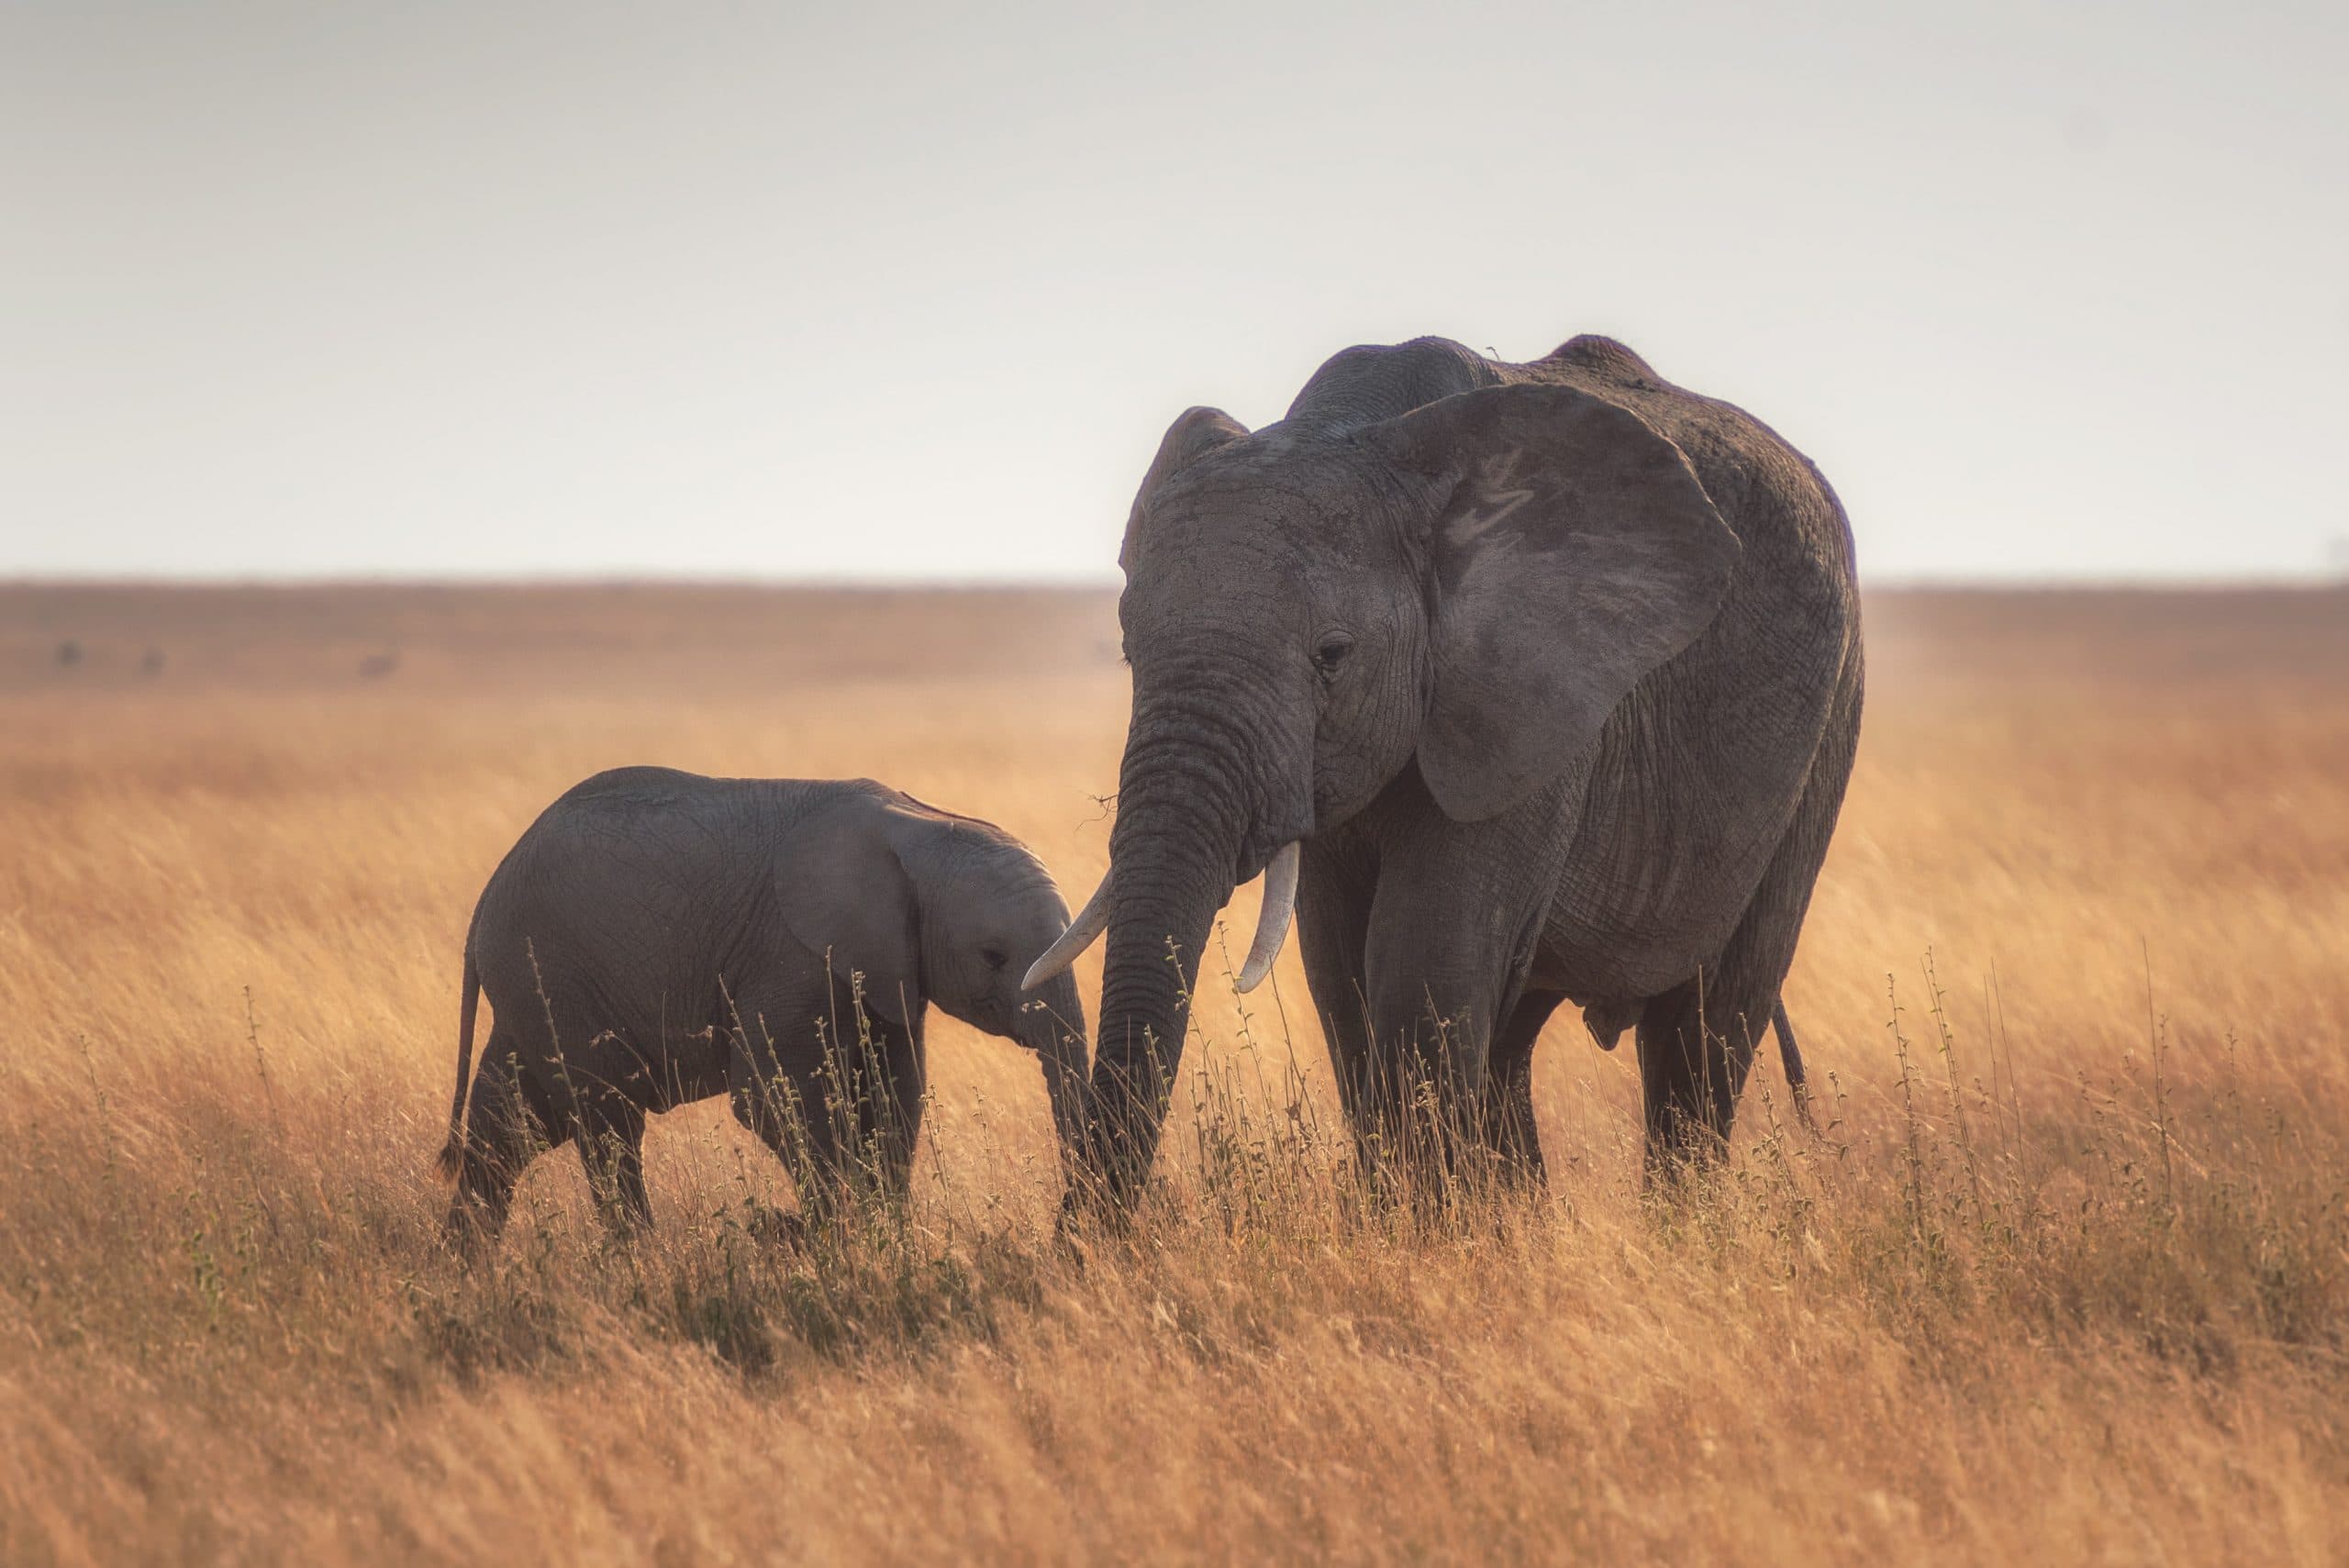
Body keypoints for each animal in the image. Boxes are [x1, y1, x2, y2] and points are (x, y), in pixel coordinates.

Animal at [437, 765, 1085, 1239]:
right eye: (994, 955)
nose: (1066, 1227)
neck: (921, 827)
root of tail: (485, 899)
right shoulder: (787, 953)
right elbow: (772, 1097)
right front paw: (835, 1239)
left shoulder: (888, 969)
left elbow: (894, 1094)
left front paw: (885, 1238)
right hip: (551, 973)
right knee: (606, 1120)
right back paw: (643, 1261)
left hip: (534, 988)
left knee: (509, 1126)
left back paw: (469, 1270)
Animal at [1038, 333, 1860, 1201]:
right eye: (1129, 651)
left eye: (1333, 656)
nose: (1087, 1233)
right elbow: (1343, 977)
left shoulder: (1534, 697)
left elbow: (1421, 967)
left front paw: (1420, 1226)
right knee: (1513, 1043)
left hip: (1827, 726)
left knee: (1705, 1029)